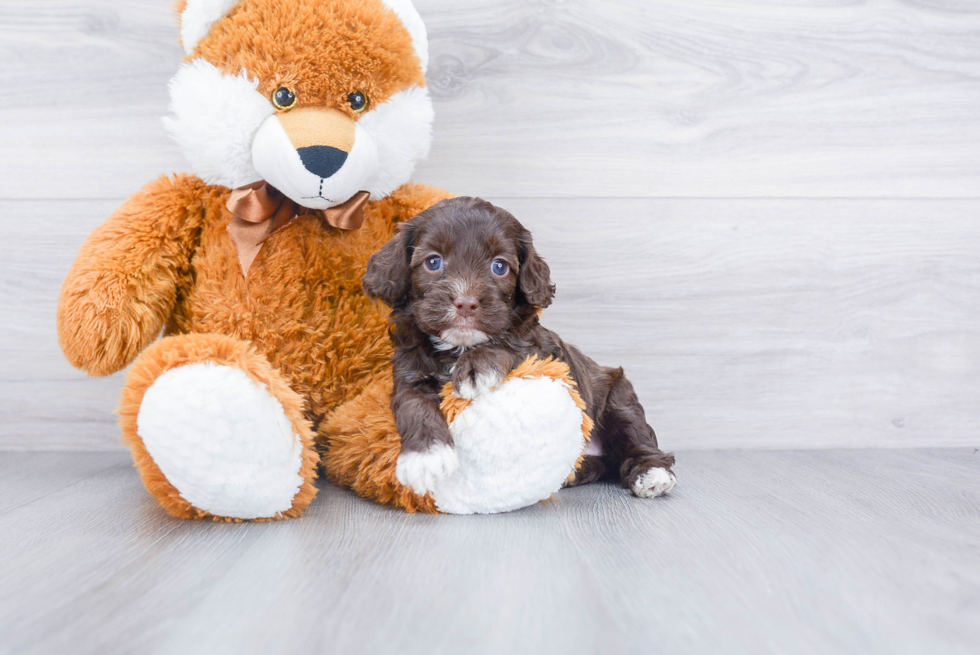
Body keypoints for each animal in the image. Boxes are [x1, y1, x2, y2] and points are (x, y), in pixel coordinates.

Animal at [364, 197, 676, 500]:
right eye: (433, 262)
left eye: (499, 266)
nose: (465, 303)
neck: (459, 347)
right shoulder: (410, 372)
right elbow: (413, 405)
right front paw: (426, 457)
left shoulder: (547, 355)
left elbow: (509, 348)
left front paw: (476, 367)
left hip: (619, 396)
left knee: (635, 436)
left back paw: (652, 474)